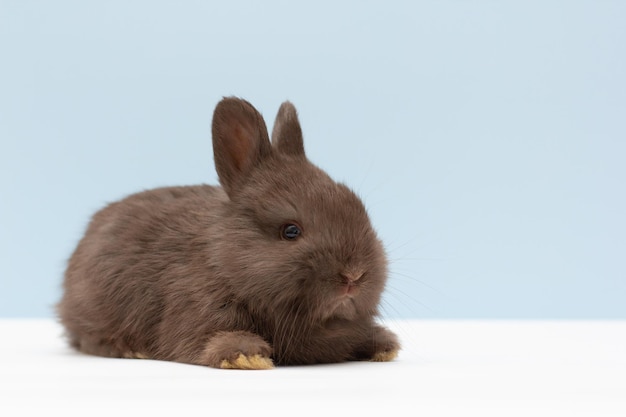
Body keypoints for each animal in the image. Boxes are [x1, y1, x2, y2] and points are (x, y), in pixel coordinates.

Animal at [59, 96, 400, 368]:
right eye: (290, 231)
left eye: (358, 207)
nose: (353, 276)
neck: (225, 264)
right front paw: (246, 356)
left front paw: (384, 345)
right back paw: (130, 350)